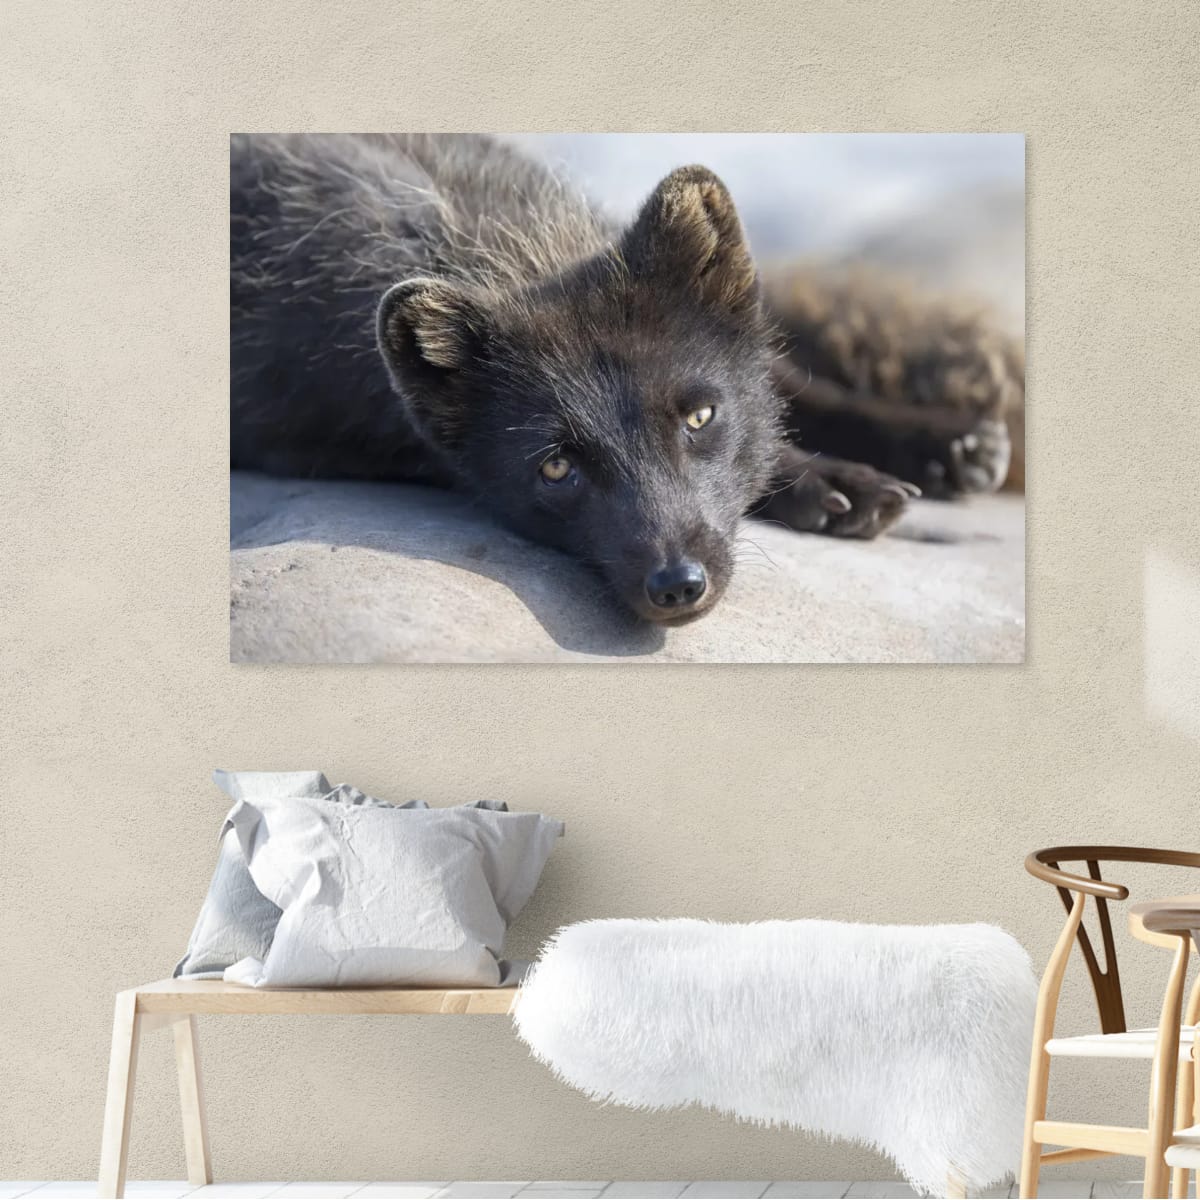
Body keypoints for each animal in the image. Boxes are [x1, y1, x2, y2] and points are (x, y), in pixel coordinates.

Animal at [231, 133, 1021, 624]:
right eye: (556, 468)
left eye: (700, 418)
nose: (678, 586)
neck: (499, 242)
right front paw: (830, 484)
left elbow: (791, 387)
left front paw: (945, 444)